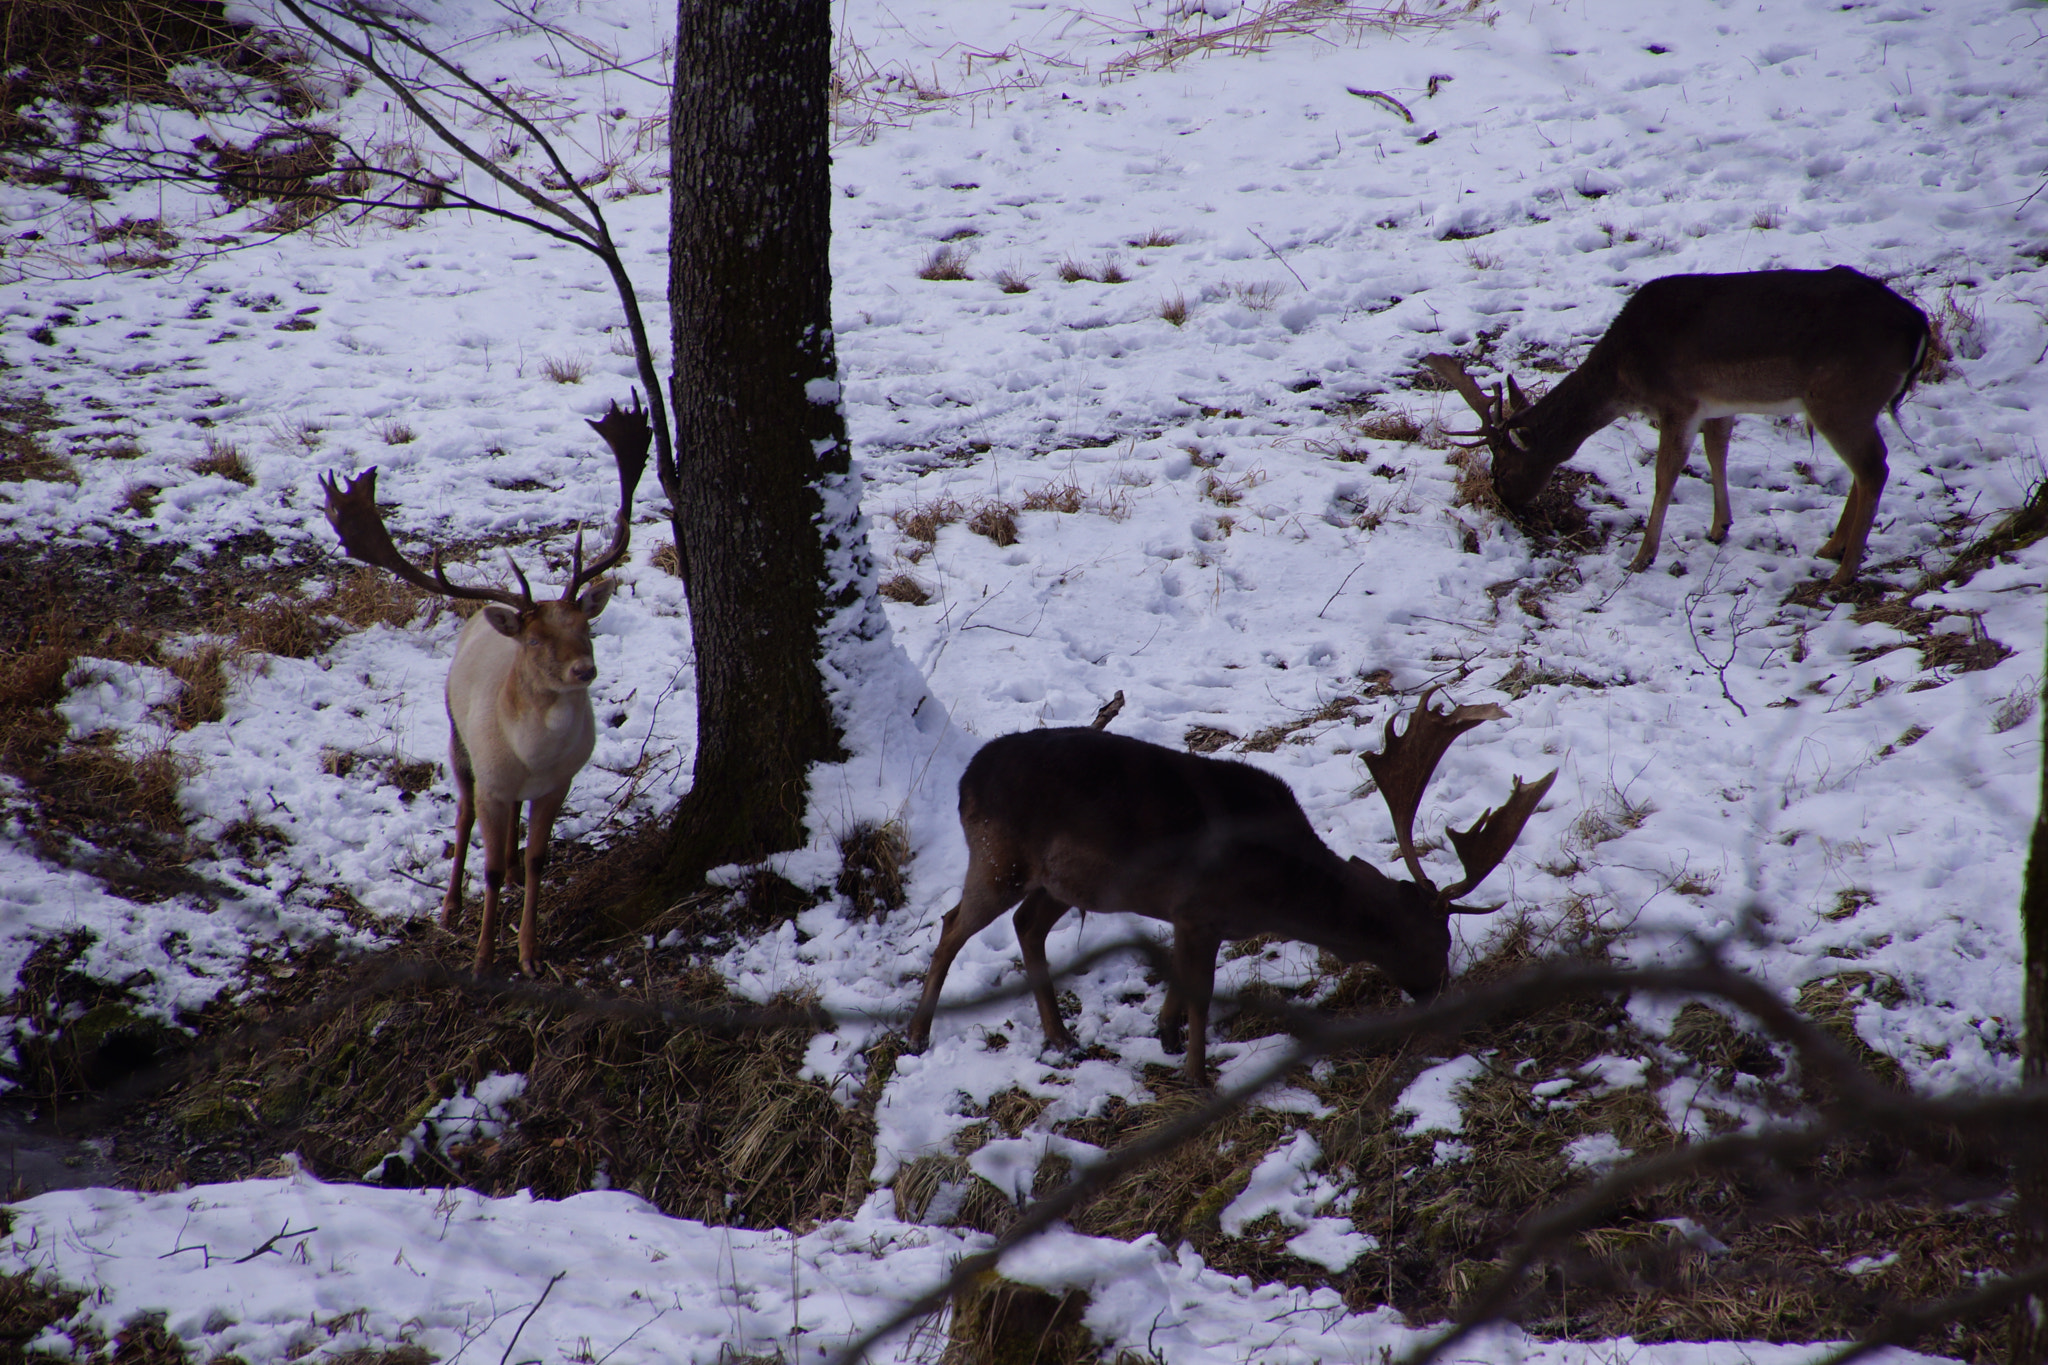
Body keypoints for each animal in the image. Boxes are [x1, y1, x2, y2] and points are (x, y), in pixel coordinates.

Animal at [319, 401, 647, 978]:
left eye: (584, 627)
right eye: (535, 640)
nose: (584, 670)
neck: (535, 755)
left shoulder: (560, 782)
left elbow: (540, 859)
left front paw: (530, 954)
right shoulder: (493, 778)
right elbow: (487, 867)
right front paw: (482, 957)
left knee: (509, 825)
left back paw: (510, 873)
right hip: (457, 736)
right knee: (464, 812)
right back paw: (450, 907)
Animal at [905, 687, 1556, 1080]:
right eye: (1434, 939)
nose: (1441, 991)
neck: (1278, 890)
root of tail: (965, 780)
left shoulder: (1193, 917)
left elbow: (1183, 979)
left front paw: (1166, 1036)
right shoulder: (1198, 906)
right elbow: (1201, 991)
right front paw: (1197, 1074)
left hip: (1059, 882)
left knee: (1025, 925)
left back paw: (1061, 1038)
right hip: (999, 855)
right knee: (952, 925)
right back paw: (917, 1034)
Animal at [1425, 266, 1933, 589]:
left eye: (1503, 466)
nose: (1504, 501)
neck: (1626, 373)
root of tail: (1919, 325)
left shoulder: (1678, 402)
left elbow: (1666, 473)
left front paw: (1641, 556)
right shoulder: (1717, 403)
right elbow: (1717, 451)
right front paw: (1719, 527)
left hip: (1841, 397)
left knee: (1874, 468)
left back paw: (1843, 574)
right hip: (1850, 405)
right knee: (1863, 469)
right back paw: (1831, 548)